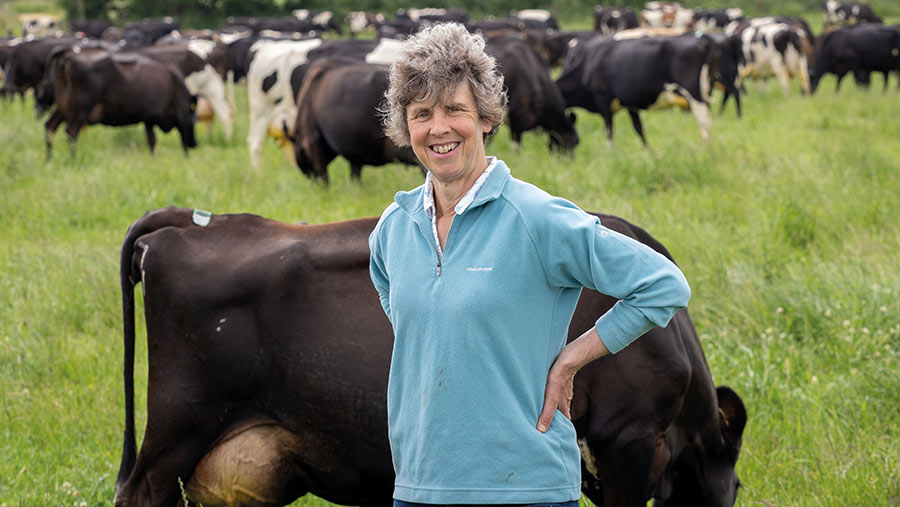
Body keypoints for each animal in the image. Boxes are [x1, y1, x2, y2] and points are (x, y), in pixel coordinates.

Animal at [42, 49, 197, 155]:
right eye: (194, 121)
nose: (194, 144)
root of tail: (68, 54)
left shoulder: (148, 119)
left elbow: (152, 142)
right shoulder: (162, 117)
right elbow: (167, 141)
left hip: (62, 106)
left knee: (50, 126)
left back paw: (49, 159)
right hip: (81, 109)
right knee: (71, 133)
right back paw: (73, 158)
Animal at [556, 33, 716, 145]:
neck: (587, 66)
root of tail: (702, 39)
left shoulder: (602, 100)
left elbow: (609, 131)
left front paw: (610, 154)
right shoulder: (630, 104)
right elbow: (639, 130)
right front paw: (648, 154)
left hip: (693, 94)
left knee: (704, 119)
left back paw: (706, 147)